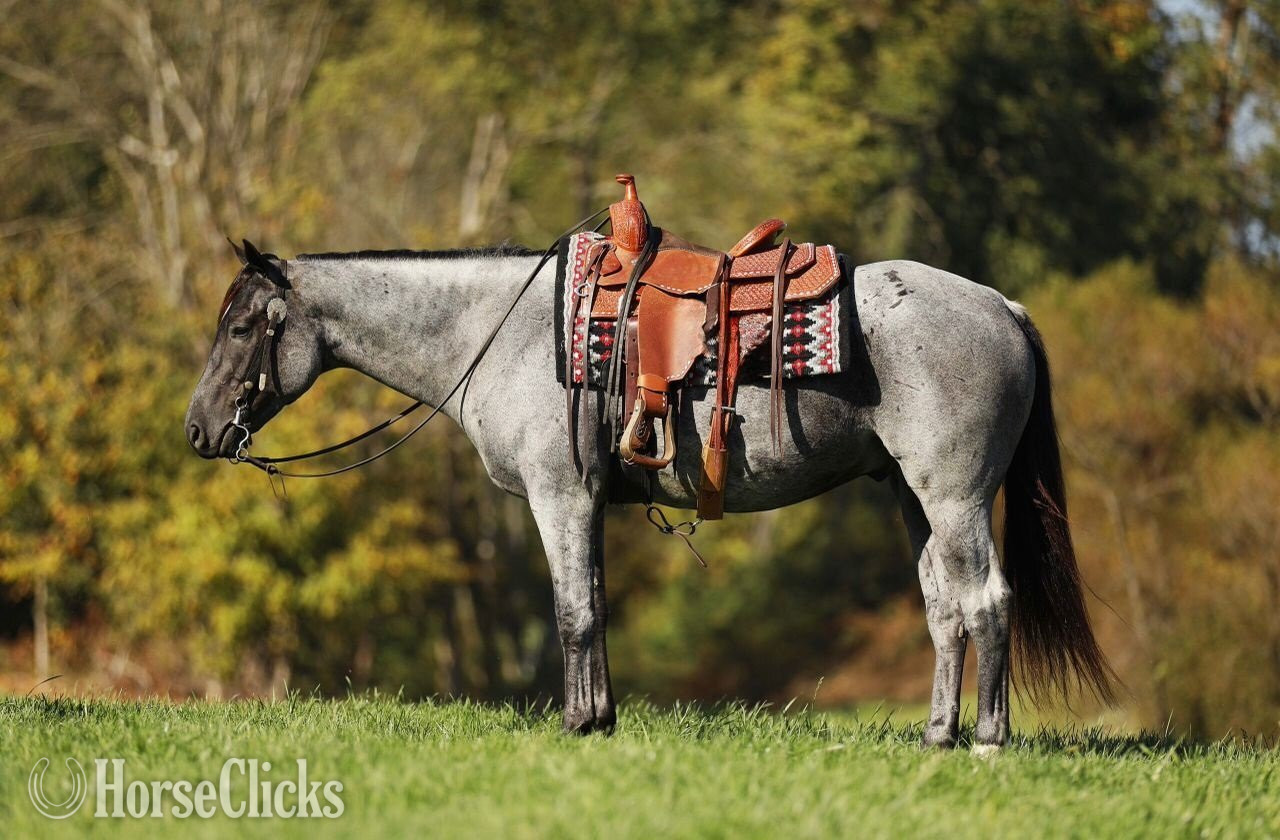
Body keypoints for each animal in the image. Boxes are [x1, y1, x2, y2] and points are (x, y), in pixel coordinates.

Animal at [185, 238, 1113, 752]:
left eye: (243, 326)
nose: (198, 429)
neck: (508, 332)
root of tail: (1001, 304)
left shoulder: (559, 495)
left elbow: (572, 613)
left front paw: (574, 725)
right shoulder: (586, 500)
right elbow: (592, 606)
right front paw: (601, 719)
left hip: (954, 497)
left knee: (987, 600)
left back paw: (987, 741)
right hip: (914, 501)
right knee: (946, 609)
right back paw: (937, 737)